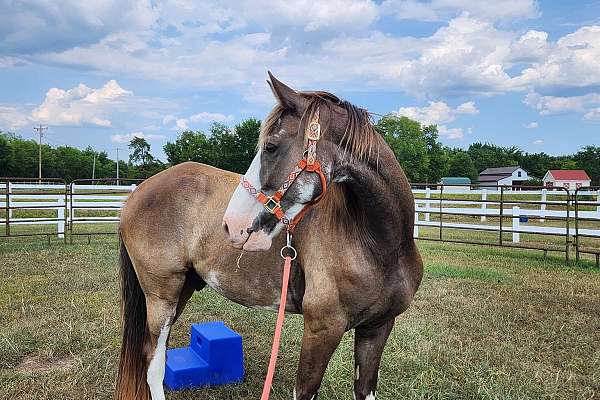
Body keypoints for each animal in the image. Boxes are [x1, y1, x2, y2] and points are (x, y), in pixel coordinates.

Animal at [113, 72, 422, 400]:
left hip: (181, 289)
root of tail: (137, 193)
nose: (231, 224)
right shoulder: (322, 330)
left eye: (271, 147)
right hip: (161, 295)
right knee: (154, 360)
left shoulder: (377, 329)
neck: (379, 246)